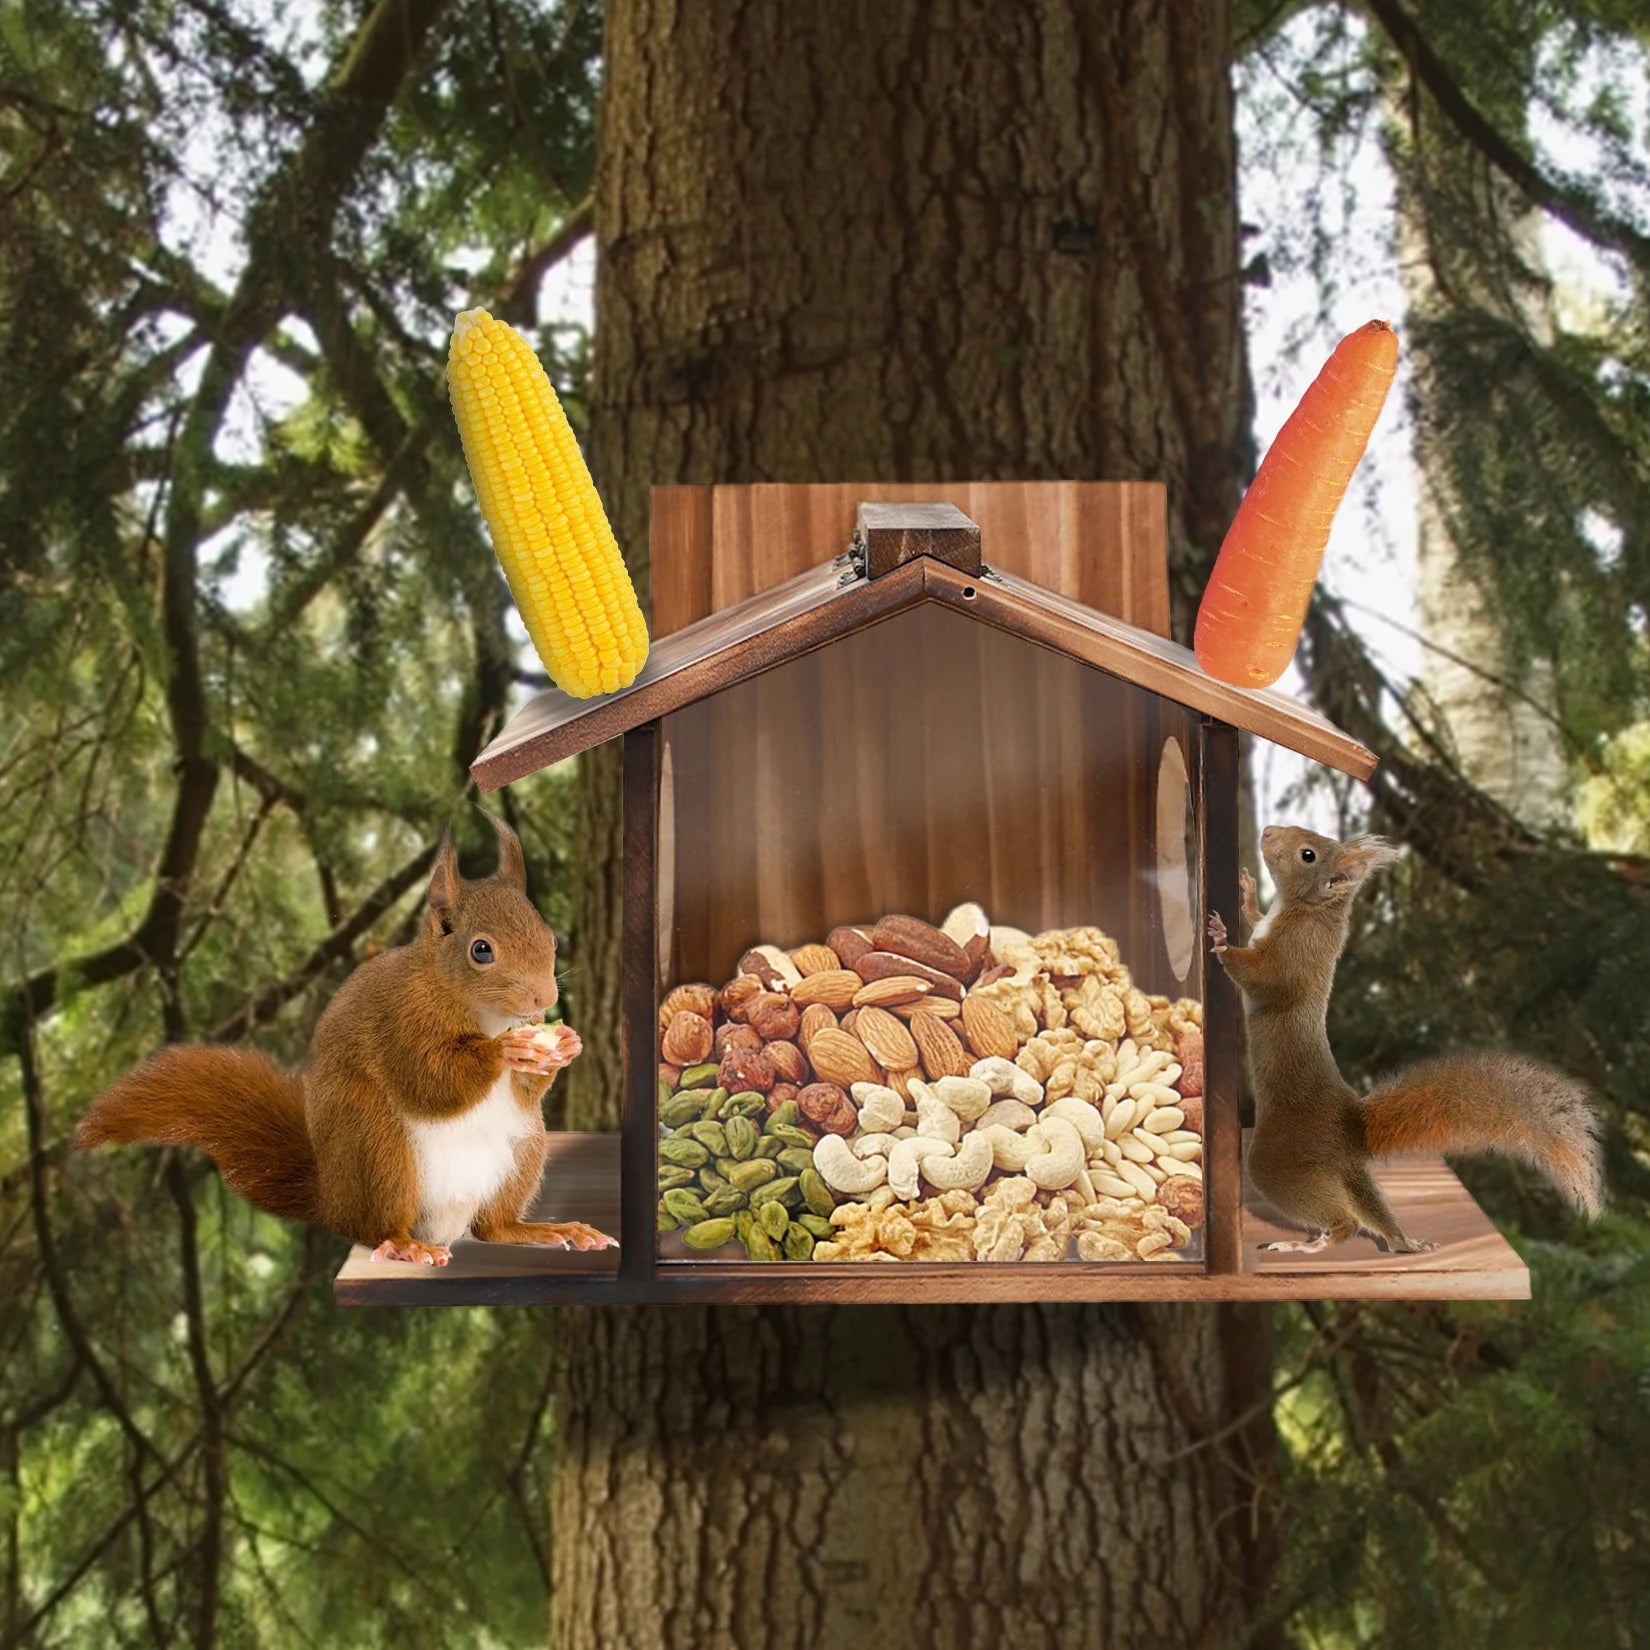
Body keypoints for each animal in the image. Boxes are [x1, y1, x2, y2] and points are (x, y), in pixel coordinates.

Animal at [75, 814, 616, 1267]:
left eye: (550, 939)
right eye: (481, 950)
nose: (545, 998)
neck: (482, 1013)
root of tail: (332, 1198)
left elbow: (523, 1089)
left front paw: (565, 1044)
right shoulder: (399, 1021)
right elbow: (430, 1080)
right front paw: (504, 1051)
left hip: (524, 1148)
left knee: (493, 1227)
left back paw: (543, 1231)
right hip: (378, 1150)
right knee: (380, 1224)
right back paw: (405, 1245)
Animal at [1208, 823, 1603, 1254]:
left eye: (1307, 854)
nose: (1267, 831)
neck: (1307, 909)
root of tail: (1352, 1130)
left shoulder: (1293, 957)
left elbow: (1262, 980)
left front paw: (1221, 941)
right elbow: (1256, 919)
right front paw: (1247, 893)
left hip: (1281, 1160)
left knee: (1345, 1221)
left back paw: (1307, 1244)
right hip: (1345, 1172)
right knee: (1372, 1211)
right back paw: (1403, 1242)